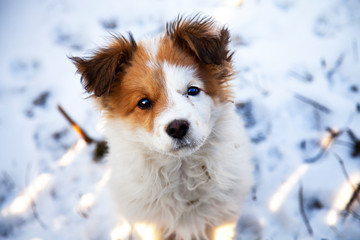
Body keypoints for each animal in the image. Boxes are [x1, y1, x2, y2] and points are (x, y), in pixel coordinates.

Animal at [71, 15, 253, 240]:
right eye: (143, 102)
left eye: (193, 90)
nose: (177, 128)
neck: (182, 171)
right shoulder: (151, 226)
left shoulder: (222, 221)